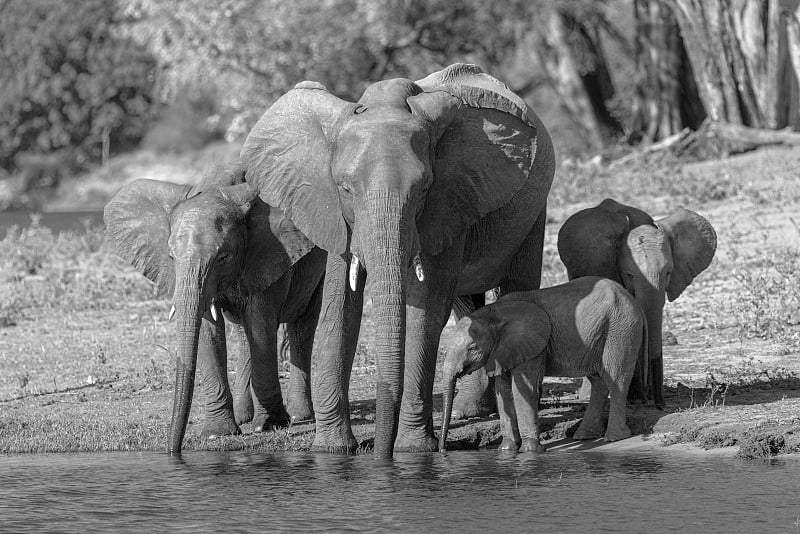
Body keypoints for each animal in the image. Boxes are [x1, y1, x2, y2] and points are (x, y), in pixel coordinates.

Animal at [104, 161, 326, 454]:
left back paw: (300, 417)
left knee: (302, 325)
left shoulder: (269, 253)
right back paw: (244, 417)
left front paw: (269, 425)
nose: (172, 451)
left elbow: (261, 323)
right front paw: (218, 433)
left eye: (223, 257)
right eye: (171, 256)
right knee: (245, 334)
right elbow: (209, 331)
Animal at [242, 61, 556, 456]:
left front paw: (411, 450)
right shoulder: (334, 214)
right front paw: (332, 451)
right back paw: (470, 411)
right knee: (468, 309)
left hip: (532, 213)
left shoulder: (450, 197)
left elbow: (426, 310)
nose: (378, 451)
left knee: (515, 287)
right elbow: (339, 307)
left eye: (422, 189)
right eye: (345, 189)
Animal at [438, 278, 648, 454]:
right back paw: (584, 436)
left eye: (472, 348)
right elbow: (503, 390)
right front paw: (506, 450)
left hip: (621, 329)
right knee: (599, 381)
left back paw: (613, 438)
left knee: (616, 380)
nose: (443, 451)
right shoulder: (503, 351)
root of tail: (633, 300)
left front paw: (531, 451)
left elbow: (524, 389)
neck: (493, 312)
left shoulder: (533, 343)